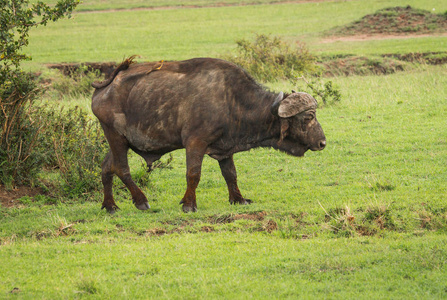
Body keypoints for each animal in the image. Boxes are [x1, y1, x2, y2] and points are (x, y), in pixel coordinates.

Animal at [91, 57, 326, 212]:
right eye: (309, 116)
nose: (323, 142)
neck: (232, 100)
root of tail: (105, 87)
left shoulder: (226, 148)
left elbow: (230, 174)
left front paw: (239, 199)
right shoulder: (195, 142)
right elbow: (193, 174)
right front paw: (189, 204)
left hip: (117, 140)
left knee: (106, 168)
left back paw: (110, 205)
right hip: (116, 137)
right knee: (121, 169)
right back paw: (141, 201)